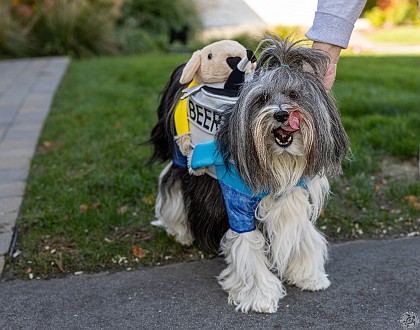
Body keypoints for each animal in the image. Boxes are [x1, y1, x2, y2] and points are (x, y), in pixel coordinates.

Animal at [146, 36, 350, 312]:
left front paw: (308, 275)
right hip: (181, 158)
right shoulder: (237, 201)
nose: (282, 114)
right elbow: (248, 247)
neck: (279, 161)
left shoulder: (293, 195)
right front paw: (259, 296)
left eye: (294, 94)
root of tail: (186, 79)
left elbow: (301, 233)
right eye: (262, 98)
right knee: (172, 185)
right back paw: (179, 231)